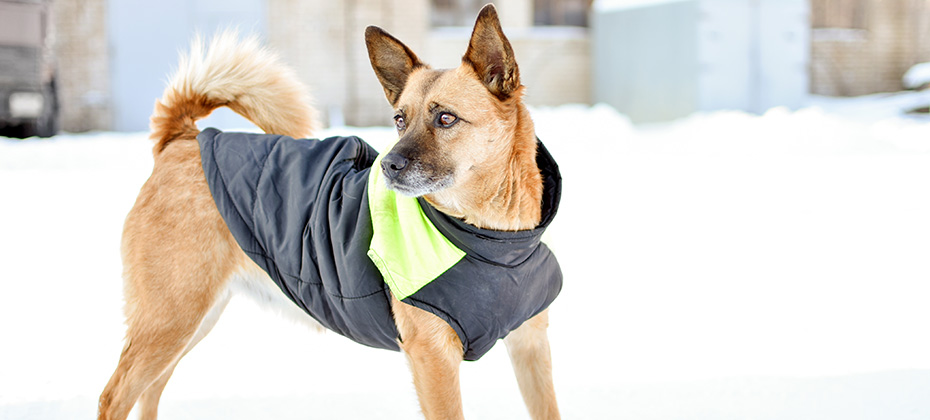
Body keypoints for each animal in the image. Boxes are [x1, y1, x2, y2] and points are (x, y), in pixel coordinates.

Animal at [96, 4, 560, 420]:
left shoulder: (531, 346)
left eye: (446, 118)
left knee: (151, 391)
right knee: (114, 396)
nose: (388, 166)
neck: (494, 241)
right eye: (399, 119)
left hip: (190, 320)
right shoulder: (434, 359)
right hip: (169, 318)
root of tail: (184, 138)